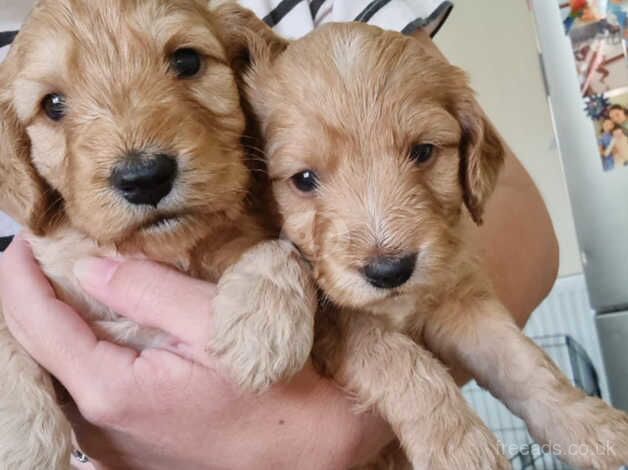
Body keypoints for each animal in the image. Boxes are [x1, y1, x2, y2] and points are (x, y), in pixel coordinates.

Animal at [0, 0, 314, 470]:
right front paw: (23, 445)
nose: (144, 178)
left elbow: (287, 248)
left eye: (187, 61)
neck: (162, 251)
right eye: (52, 104)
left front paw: (263, 326)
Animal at [224, 9, 628, 468]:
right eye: (304, 179)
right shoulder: (339, 324)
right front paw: (461, 449)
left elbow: (523, 360)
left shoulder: (460, 298)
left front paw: (592, 424)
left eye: (423, 152)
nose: (389, 271)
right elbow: (402, 361)